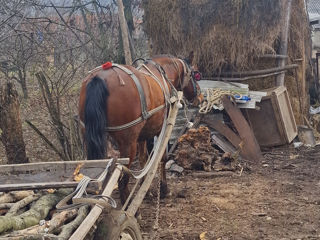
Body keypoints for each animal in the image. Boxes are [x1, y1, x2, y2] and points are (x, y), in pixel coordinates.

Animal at [78, 54, 202, 204]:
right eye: (195, 74)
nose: (200, 96)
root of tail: (99, 78)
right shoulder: (163, 129)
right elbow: (162, 157)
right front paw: (164, 189)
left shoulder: (142, 135)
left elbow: (143, 159)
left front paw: (146, 190)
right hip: (127, 145)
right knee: (122, 179)